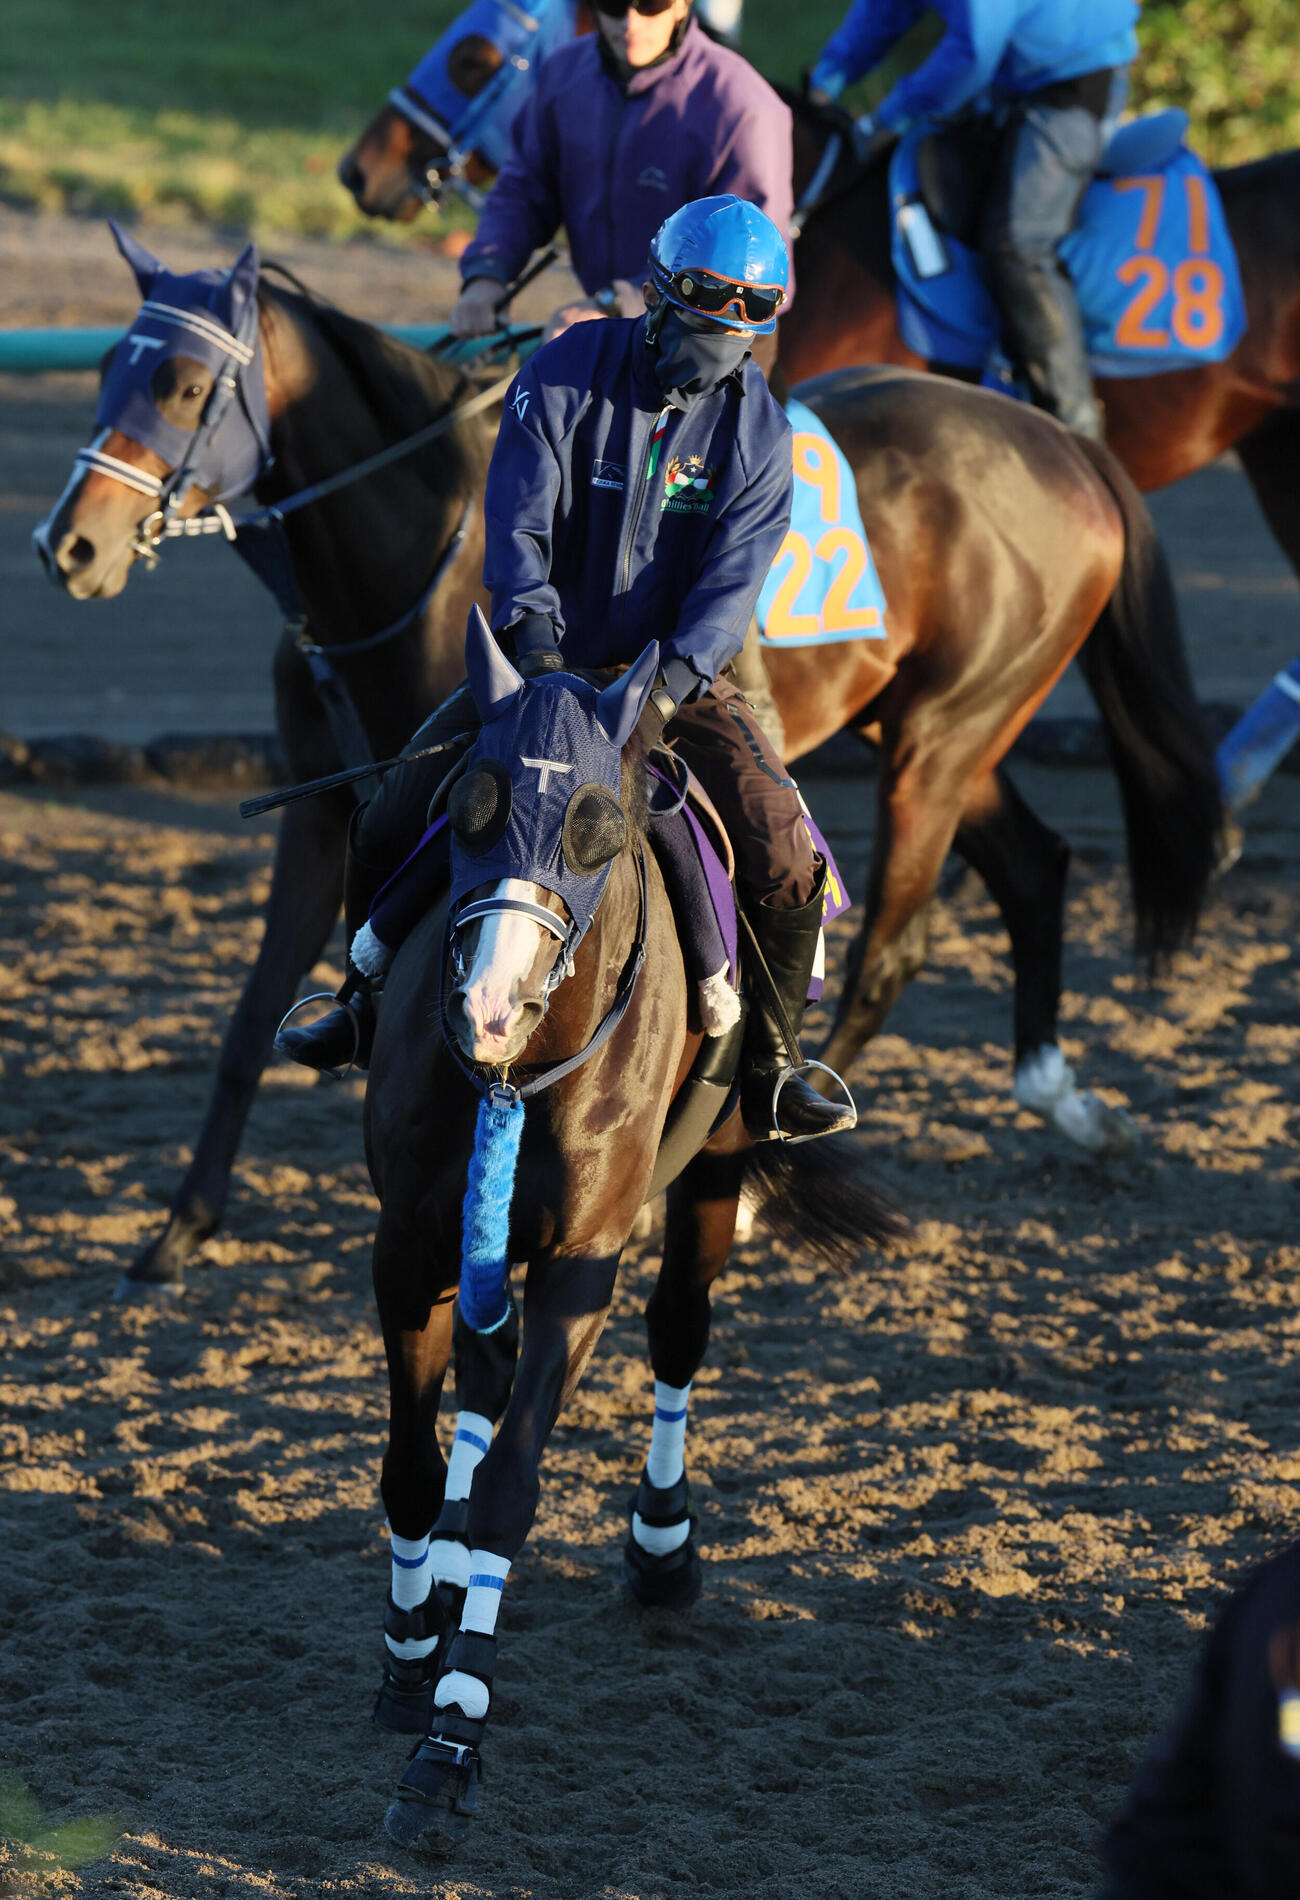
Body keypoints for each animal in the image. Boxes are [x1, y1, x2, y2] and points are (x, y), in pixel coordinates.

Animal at [35, 240, 1221, 1298]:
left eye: (187, 382)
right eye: (109, 369)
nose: (68, 545)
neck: (412, 546)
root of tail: (1065, 445)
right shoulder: (332, 810)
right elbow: (251, 1017)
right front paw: (178, 1230)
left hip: (942, 736)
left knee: (882, 943)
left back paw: (767, 1160)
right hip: (934, 731)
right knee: (1034, 865)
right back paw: (1062, 1095)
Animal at [364, 605, 902, 1853]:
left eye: (597, 827)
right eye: (468, 802)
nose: (486, 1006)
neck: (520, 1071)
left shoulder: (579, 1265)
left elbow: (513, 1484)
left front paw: (450, 1740)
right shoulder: (408, 1247)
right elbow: (414, 1464)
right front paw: (412, 1649)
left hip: (714, 1165)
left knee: (679, 1331)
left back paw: (663, 1549)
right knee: (482, 1373)